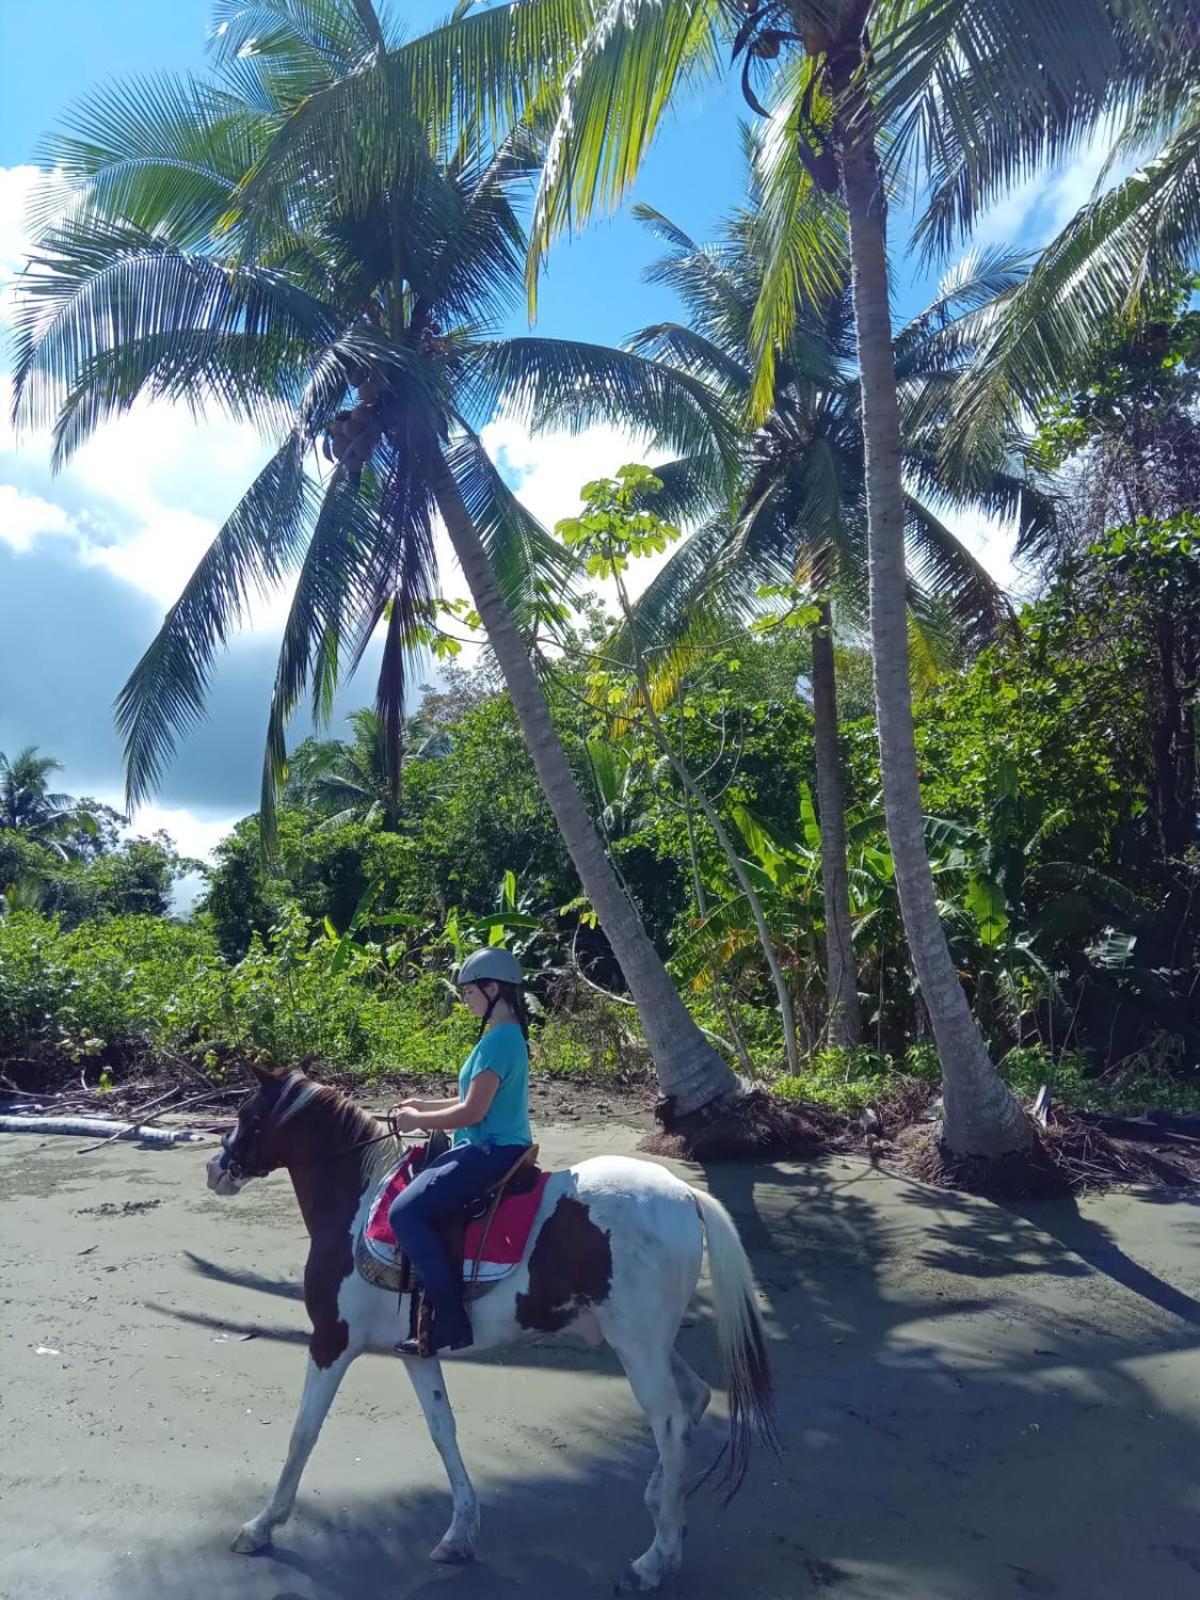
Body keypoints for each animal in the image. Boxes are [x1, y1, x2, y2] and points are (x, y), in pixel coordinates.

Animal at [206, 1062, 774, 1587]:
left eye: (248, 1115)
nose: (216, 1167)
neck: (359, 1202)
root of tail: (684, 1194)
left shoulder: (332, 1341)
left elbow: (303, 1433)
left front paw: (262, 1526)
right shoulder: (415, 1351)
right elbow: (443, 1431)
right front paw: (460, 1534)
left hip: (638, 1349)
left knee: (671, 1423)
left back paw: (655, 1560)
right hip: (648, 1344)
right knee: (694, 1400)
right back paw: (662, 1507)